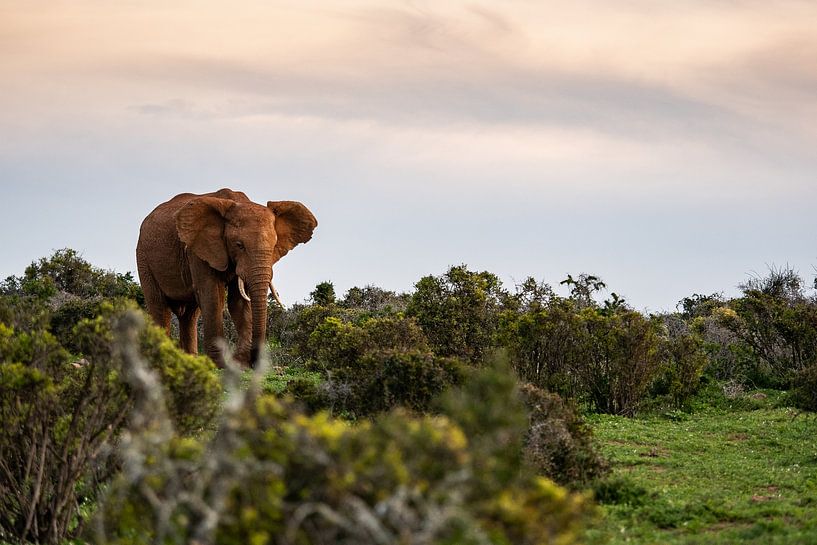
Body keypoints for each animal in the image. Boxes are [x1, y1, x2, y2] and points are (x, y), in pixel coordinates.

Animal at [136, 188, 317, 367]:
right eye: (239, 245)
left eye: (274, 246)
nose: (254, 362)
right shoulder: (198, 250)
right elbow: (213, 297)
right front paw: (220, 365)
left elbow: (239, 302)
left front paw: (239, 364)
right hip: (143, 258)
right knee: (159, 307)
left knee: (190, 314)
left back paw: (191, 360)